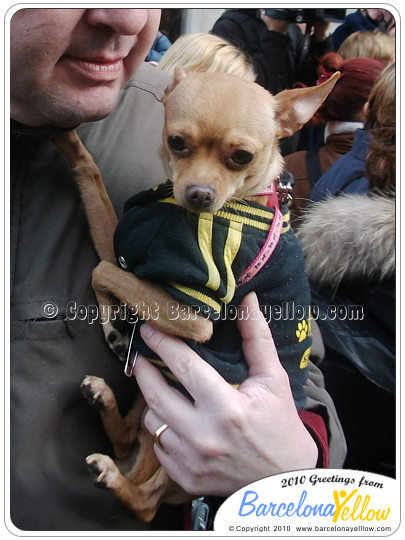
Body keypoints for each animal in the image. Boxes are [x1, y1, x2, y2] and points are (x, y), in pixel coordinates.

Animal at [53, 68, 338, 524]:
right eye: (176, 142)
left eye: (242, 157)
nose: (200, 194)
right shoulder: (124, 245)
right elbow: (93, 186)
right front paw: (67, 140)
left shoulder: (194, 309)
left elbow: (103, 271)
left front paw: (114, 324)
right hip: (151, 408)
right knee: (126, 438)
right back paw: (104, 400)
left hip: (182, 449)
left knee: (146, 503)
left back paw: (115, 479)